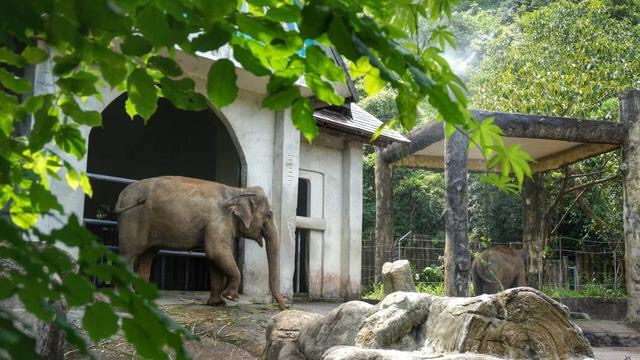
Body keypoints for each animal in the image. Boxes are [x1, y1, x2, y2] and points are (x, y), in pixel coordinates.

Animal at [114, 174, 286, 310]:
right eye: (269, 215)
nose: (282, 308)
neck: (239, 190)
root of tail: (121, 195)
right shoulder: (219, 218)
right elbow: (216, 251)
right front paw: (231, 297)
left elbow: (214, 258)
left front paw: (217, 304)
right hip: (132, 219)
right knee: (129, 255)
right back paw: (128, 296)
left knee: (147, 256)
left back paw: (144, 297)